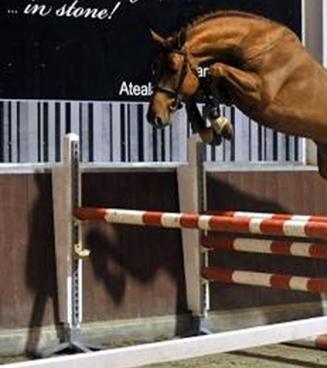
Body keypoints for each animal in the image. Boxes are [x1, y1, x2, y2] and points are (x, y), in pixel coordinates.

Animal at [149, 10, 327, 178]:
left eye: (173, 67)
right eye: (155, 67)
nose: (153, 117)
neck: (254, 44)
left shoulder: (260, 92)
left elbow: (215, 69)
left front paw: (221, 124)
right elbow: (202, 86)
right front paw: (211, 130)